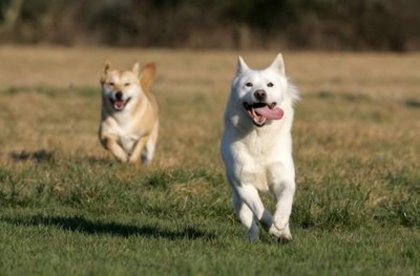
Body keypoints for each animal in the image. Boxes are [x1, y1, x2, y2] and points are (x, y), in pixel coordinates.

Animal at [220, 53, 298, 242]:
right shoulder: (244, 185)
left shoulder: (284, 178)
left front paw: (280, 224)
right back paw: (254, 238)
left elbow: (285, 201)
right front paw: (273, 228)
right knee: (251, 223)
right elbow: (260, 210)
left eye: (270, 84)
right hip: (238, 202)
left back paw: (285, 234)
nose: (260, 93)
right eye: (248, 84)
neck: (259, 136)